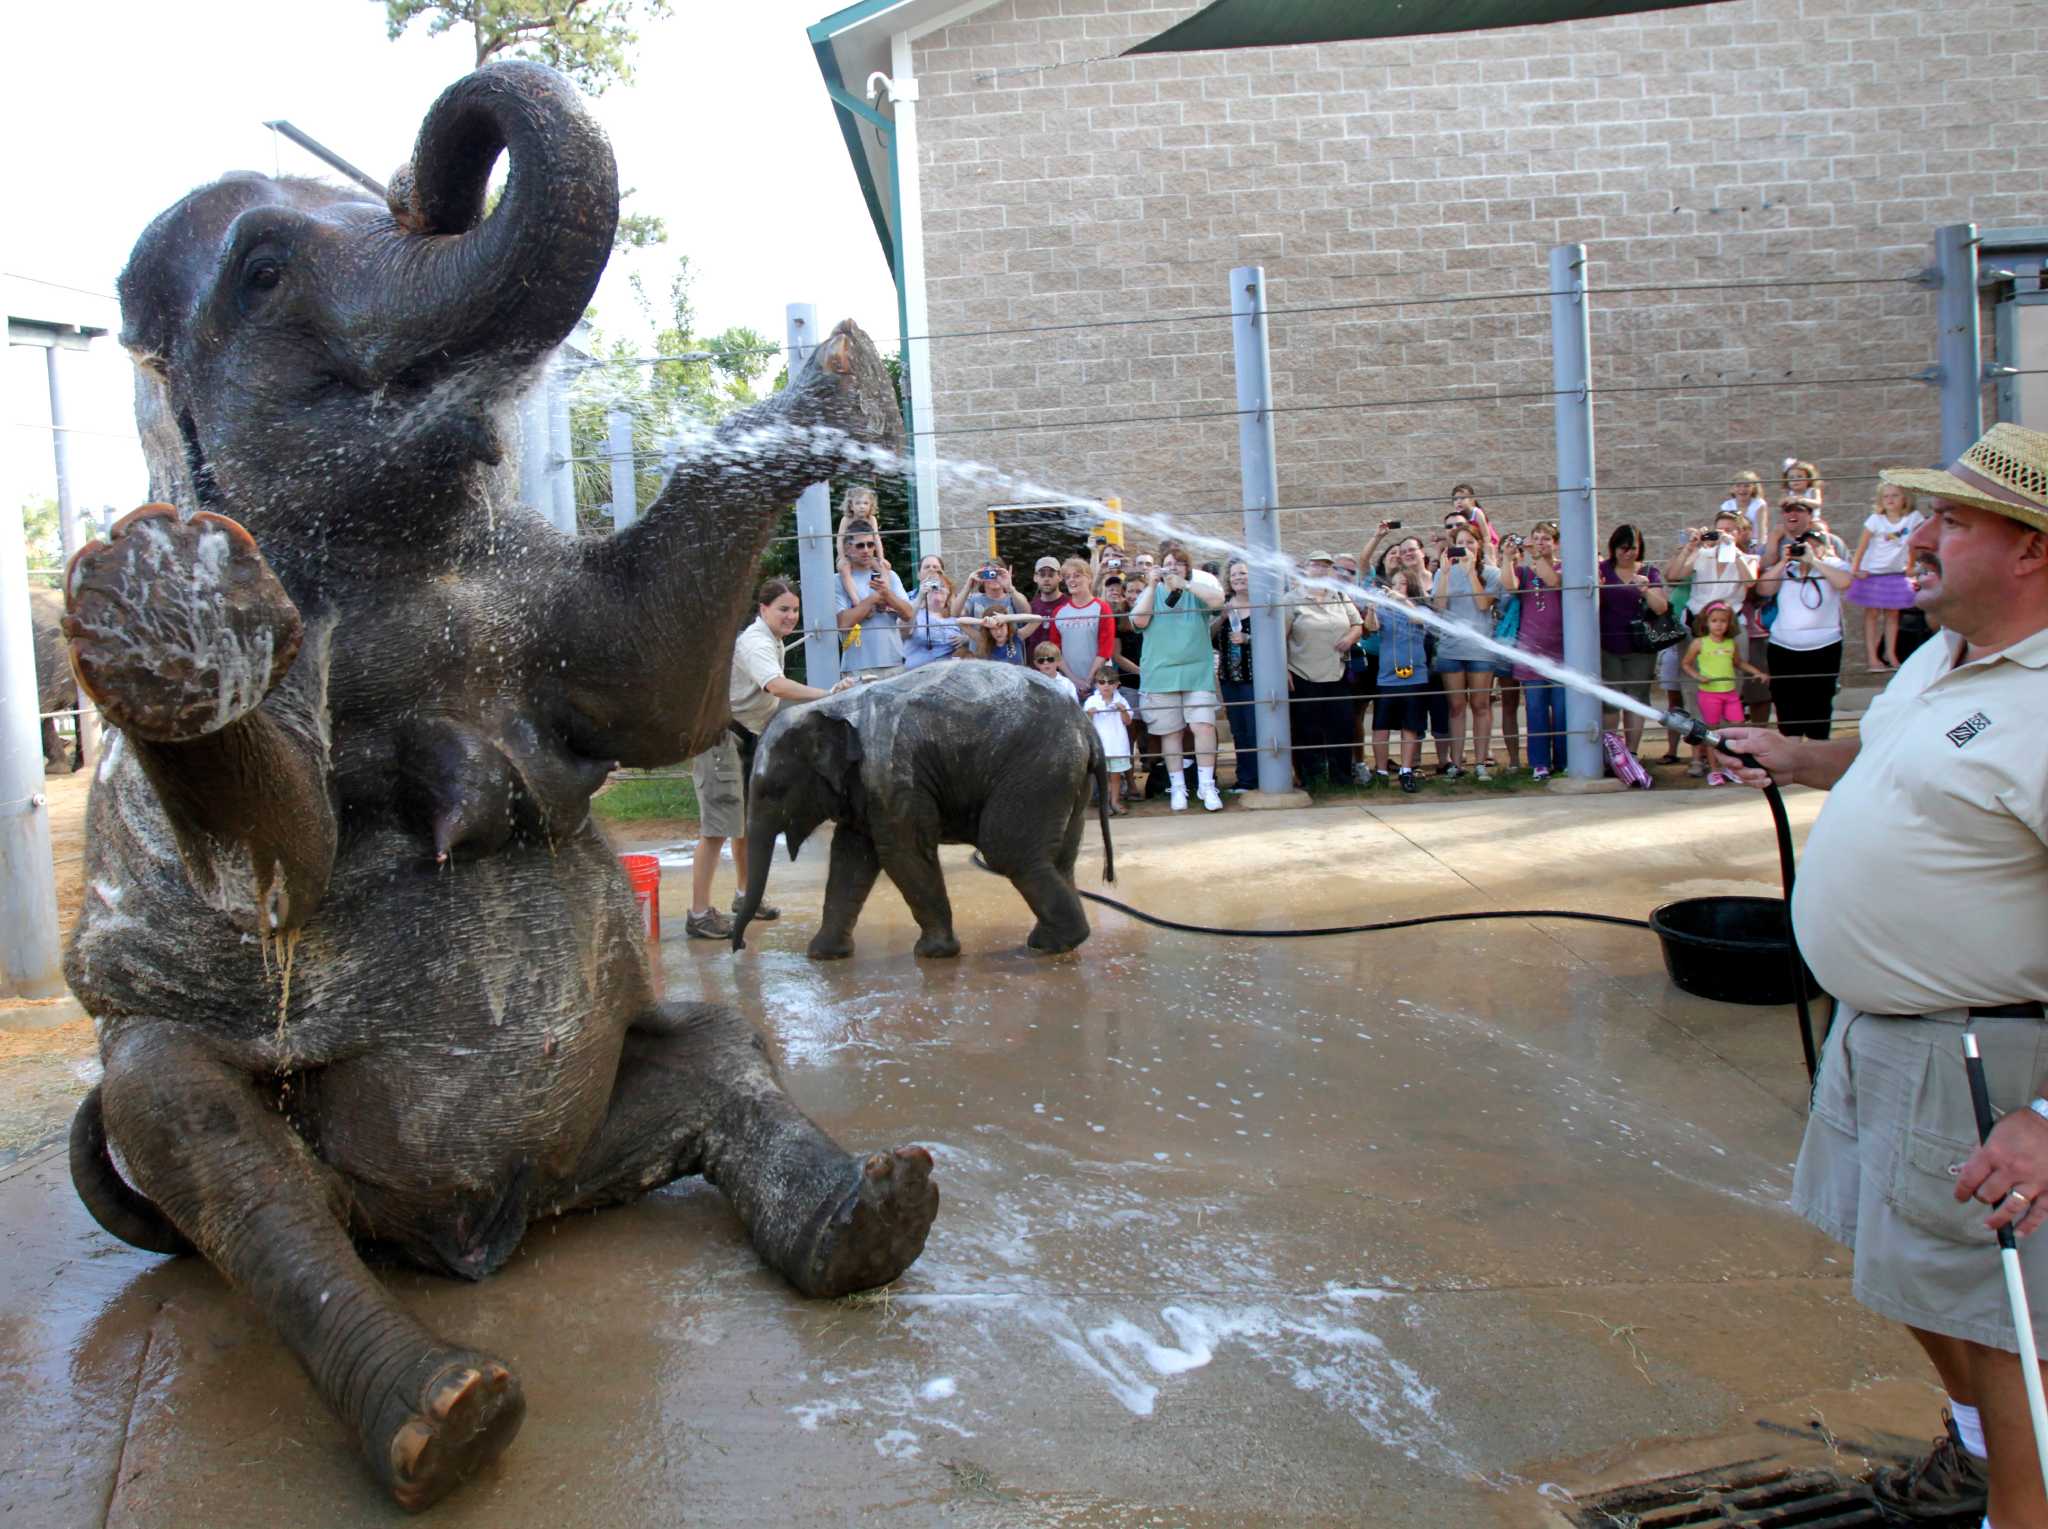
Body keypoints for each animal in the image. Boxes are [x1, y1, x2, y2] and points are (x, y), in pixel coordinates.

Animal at [56, 62, 937, 1522]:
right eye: (264, 270)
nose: (436, 170)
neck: (399, 553)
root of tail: (476, 1229)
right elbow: (279, 866)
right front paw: (161, 592)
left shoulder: (532, 583)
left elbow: (654, 688)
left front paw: (846, 381)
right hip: (275, 1151)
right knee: (203, 1135)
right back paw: (447, 1416)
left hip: (612, 1120)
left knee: (719, 1053)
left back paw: (872, 1217)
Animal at [737, 667, 1114, 962]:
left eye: (773, 791)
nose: (738, 946)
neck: (830, 708)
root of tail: (1087, 728)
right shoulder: (867, 786)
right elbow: (851, 856)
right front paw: (822, 955)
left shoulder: (892, 775)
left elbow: (901, 853)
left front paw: (933, 953)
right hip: (1066, 778)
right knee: (1060, 857)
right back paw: (1051, 941)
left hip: (1039, 769)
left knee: (1007, 850)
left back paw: (1053, 944)